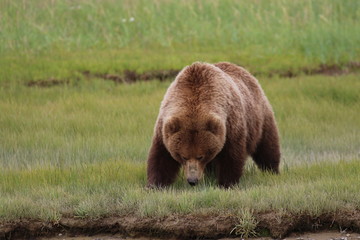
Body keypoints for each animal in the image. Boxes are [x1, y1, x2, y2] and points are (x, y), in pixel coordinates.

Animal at [147, 61, 282, 188]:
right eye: (183, 156)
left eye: (200, 156)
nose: (192, 180)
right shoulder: (164, 128)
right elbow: (161, 156)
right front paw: (155, 185)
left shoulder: (230, 125)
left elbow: (231, 155)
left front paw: (227, 183)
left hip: (259, 116)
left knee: (267, 145)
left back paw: (272, 170)